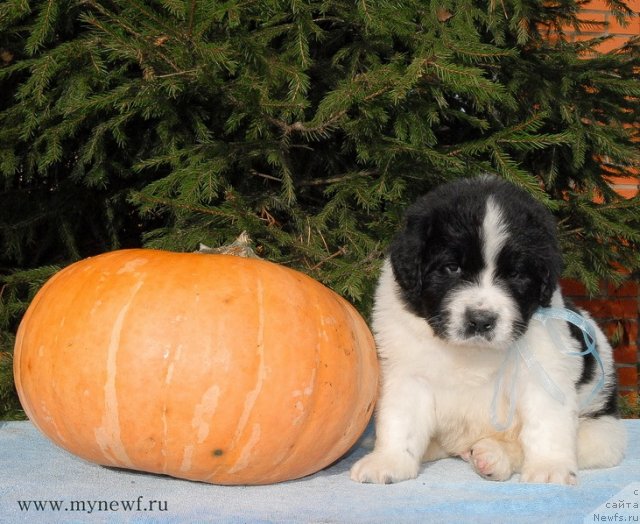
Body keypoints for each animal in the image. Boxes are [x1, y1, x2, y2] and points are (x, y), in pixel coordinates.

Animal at [350, 174, 624, 486]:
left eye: (515, 274)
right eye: (452, 268)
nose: (481, 320)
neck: (473, 352)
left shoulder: (543, 370)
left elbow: (546, 423)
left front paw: (549, 467)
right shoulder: (408, 372)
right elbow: (400, 420)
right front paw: (388, 461)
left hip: (601, 432)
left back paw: (493, 455)